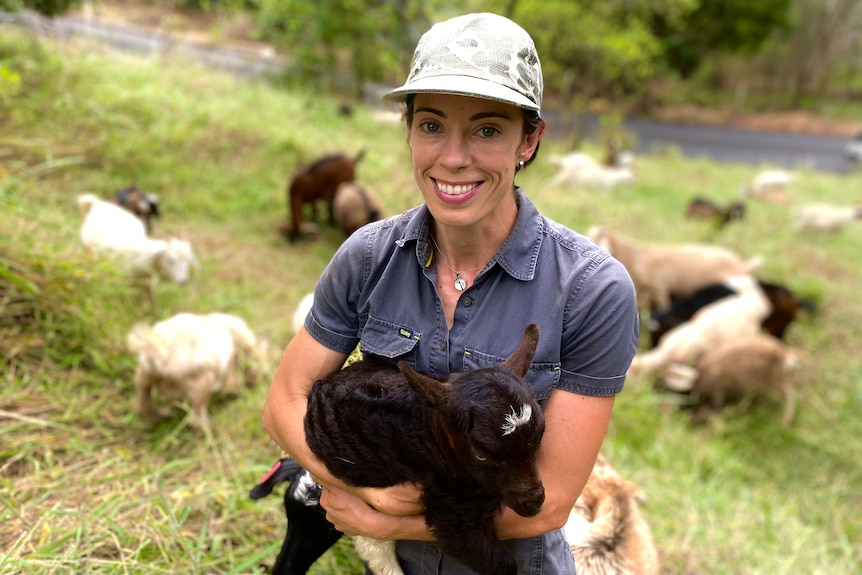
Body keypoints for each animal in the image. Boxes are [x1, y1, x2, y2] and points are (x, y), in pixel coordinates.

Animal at [128, 312, 268, 430]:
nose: (255, 384)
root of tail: (163, 356)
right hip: (203, 382)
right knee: (196, 419)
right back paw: (211, 426)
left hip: (141, 378)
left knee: (141, 405)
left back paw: (164, 415)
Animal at [588, 226, 764, 316]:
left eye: (596, 240)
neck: (638, 258)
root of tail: (744, 265)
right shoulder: (645, 292)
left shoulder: (659, 289)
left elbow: (663, 308)